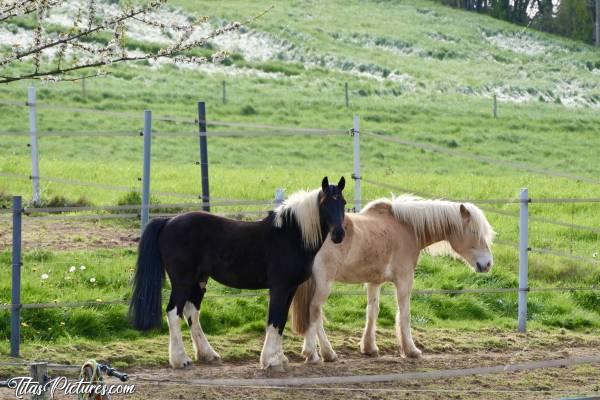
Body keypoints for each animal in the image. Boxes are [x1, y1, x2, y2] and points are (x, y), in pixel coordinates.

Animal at [131, 177, 346, 370]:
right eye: (324, 204)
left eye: (343, 203)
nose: (339, 235)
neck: (291, 234)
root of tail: (168, 221)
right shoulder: (280, 287)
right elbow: (275, 319)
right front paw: (271, 360)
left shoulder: (291, 289)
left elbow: (281, 320)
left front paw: (279, 358)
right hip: (182, 281)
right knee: (174, 312)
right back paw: (180, 360)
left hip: (199, 281)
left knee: (191, 312)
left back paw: (208, 354)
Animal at [290, 195, 492, 362]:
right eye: (475, 232)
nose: (487, 264)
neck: (406, 228)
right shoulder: (404, 279)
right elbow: (404, 314)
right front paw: (411, 350)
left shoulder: (374, 281)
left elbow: (372, 311)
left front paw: (369, 347)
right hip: (323, 283)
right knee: (315, 311)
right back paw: (323, 353)